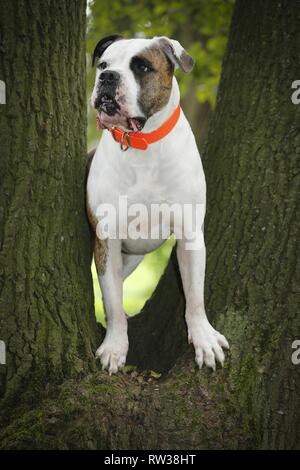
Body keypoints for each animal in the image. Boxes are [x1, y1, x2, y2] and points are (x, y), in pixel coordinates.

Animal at [87, 35, 230, 374]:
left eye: (142, 67)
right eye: (103, 64)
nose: (107, 77)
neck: (143, 143)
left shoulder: (191, 236)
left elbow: (194, 297)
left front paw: (203, 338)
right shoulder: (107, 240)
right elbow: (114, 302)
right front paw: (115, 345)